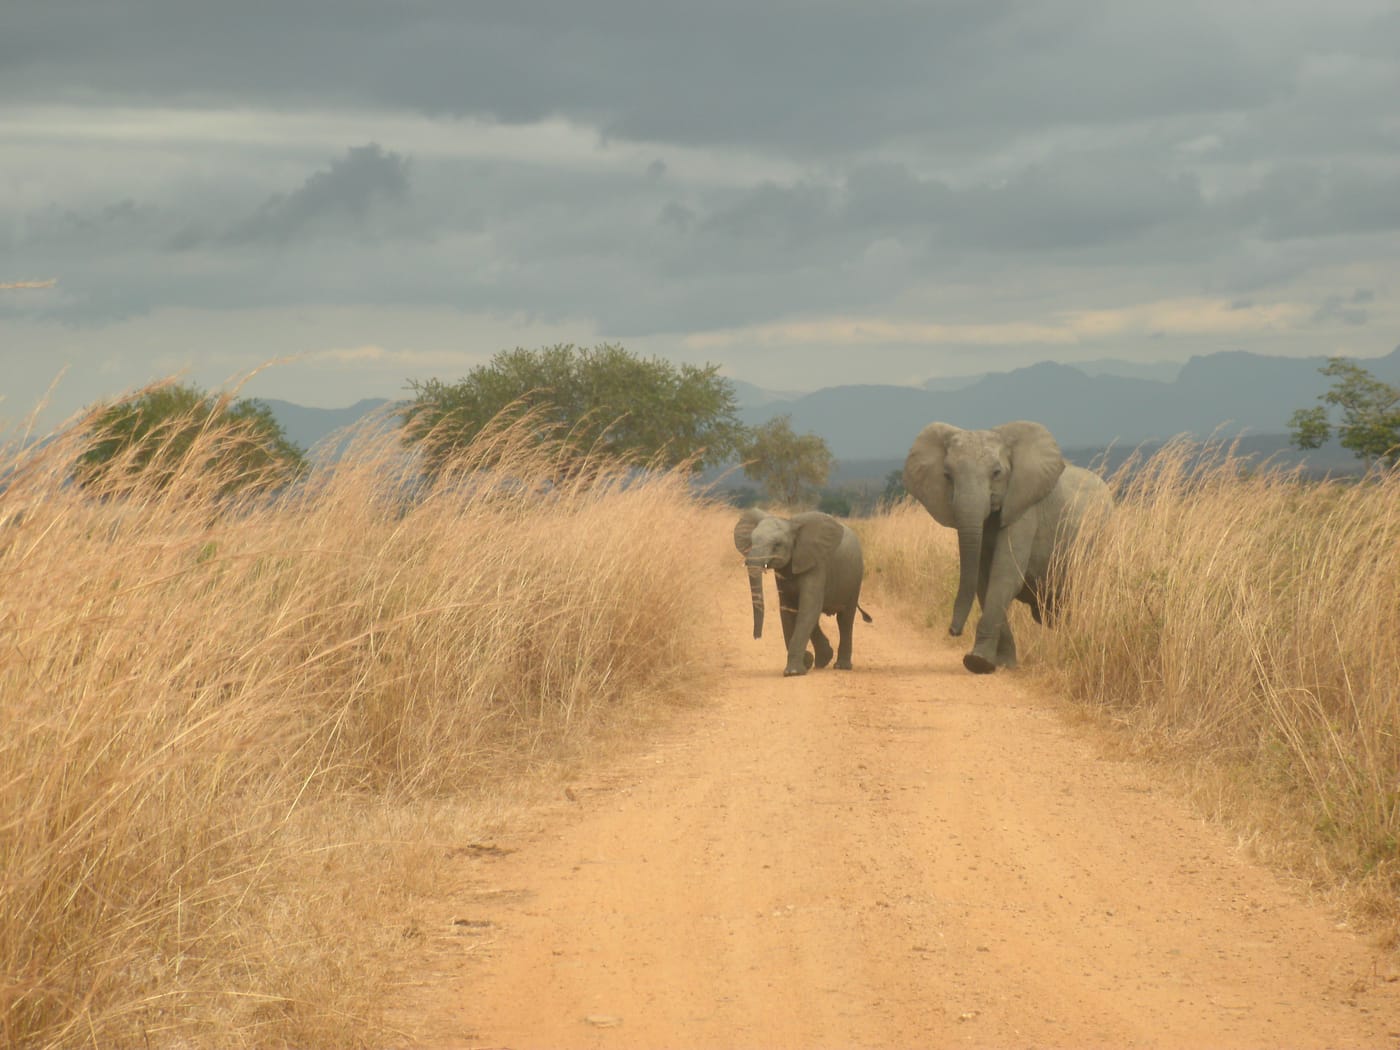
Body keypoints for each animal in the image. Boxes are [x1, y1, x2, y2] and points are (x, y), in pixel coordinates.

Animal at [733, 508, 872, 677]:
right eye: (751, 541)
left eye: (777, 545)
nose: (757, 637)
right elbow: (789, 610)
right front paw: (806, 662)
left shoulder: (816, 565)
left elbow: (808, 608)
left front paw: (793, 672)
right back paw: (822, 660)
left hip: (855, 578)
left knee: (845, 619)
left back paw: (841, 666)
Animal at [902, 420, 1111, 675]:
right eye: (947, 476)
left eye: (996, 473)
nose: (953, 631)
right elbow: (983, 580)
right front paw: (1000, 664)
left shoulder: (1025, 508)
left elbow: (1003, 576)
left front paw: (977, 662)